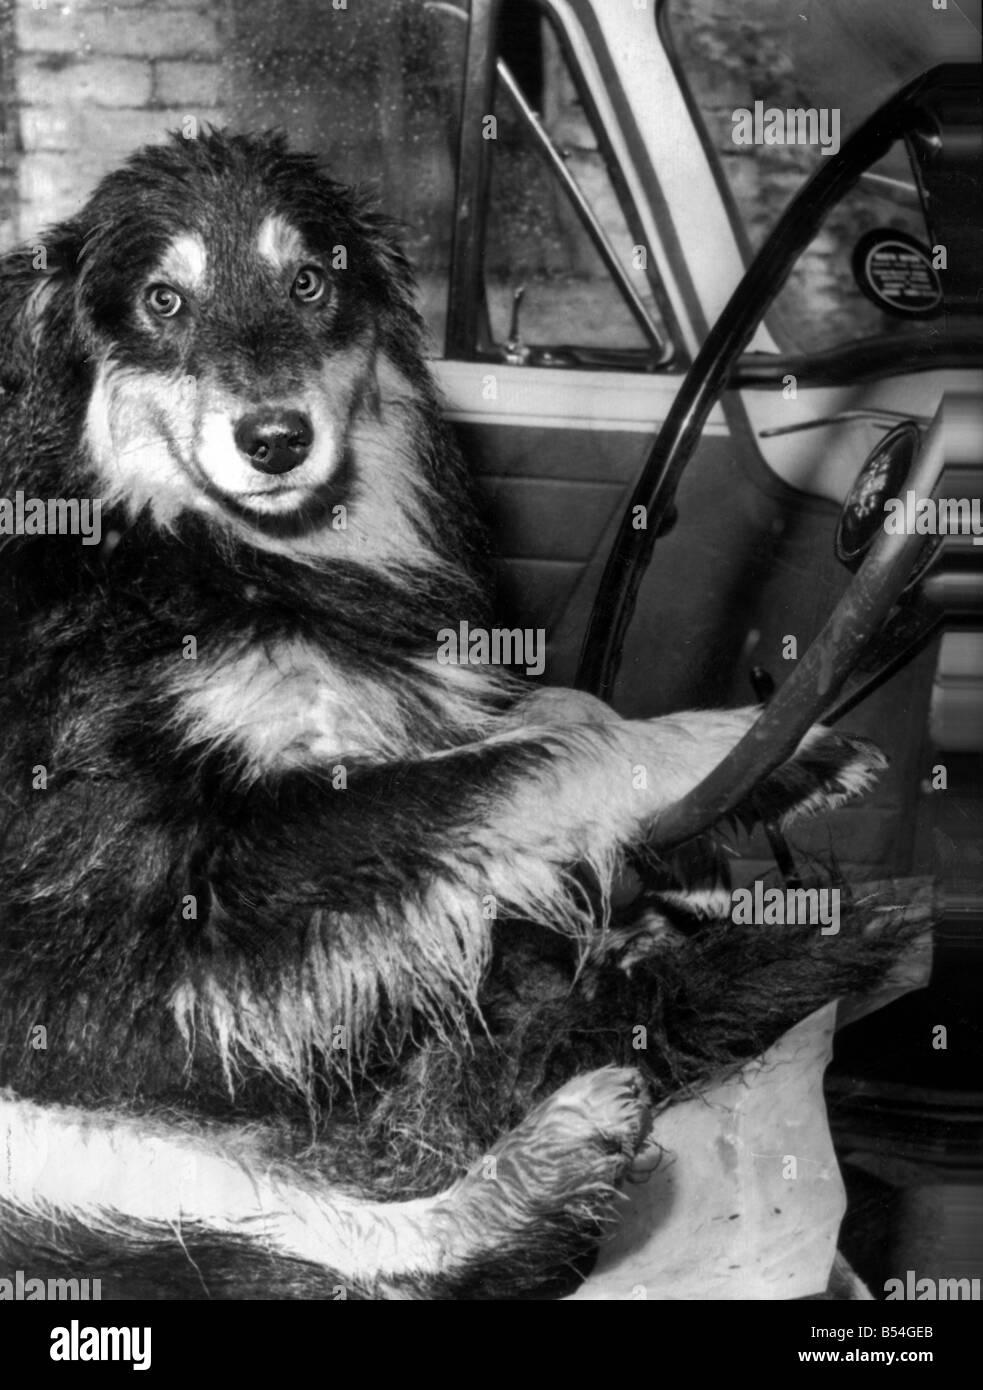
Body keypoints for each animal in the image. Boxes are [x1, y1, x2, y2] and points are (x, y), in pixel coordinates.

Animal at [0, 125, 906, 1295]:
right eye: (163, 299)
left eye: (309, 282)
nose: (276, 439)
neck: (188, 551)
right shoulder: (198, 872)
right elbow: (543, 756)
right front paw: (697, 752)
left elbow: (546, 713)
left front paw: (774, 761)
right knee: (359, 1259)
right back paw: (566, 1146)